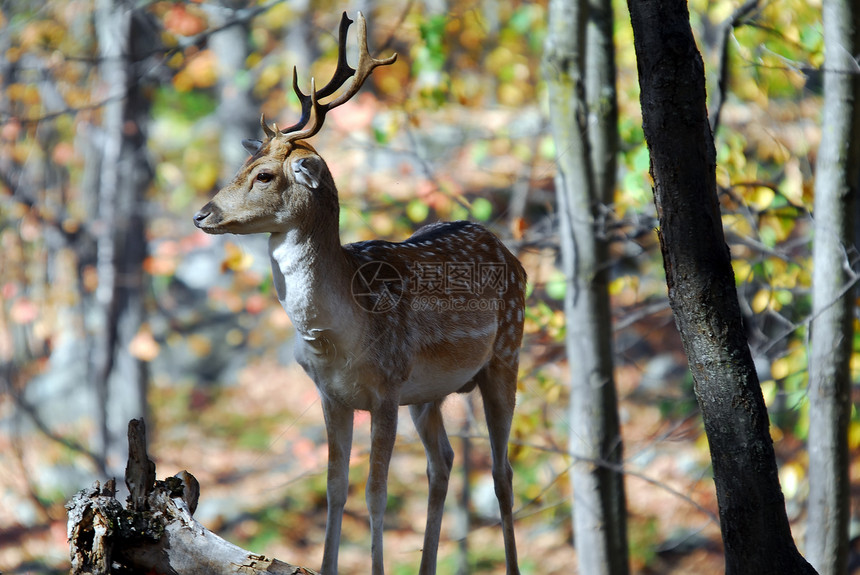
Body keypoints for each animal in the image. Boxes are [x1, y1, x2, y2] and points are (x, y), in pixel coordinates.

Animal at [193, 13, 524, 575]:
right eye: (242, 168)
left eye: (264, 175)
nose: (202, 214)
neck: (341, 332)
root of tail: (508, 250)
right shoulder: (331, 394)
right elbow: (335, 488)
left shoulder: (387, 388)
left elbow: (375, 492)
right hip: (431, 392)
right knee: (444, 462)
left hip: (506, 353)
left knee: (501, 472)